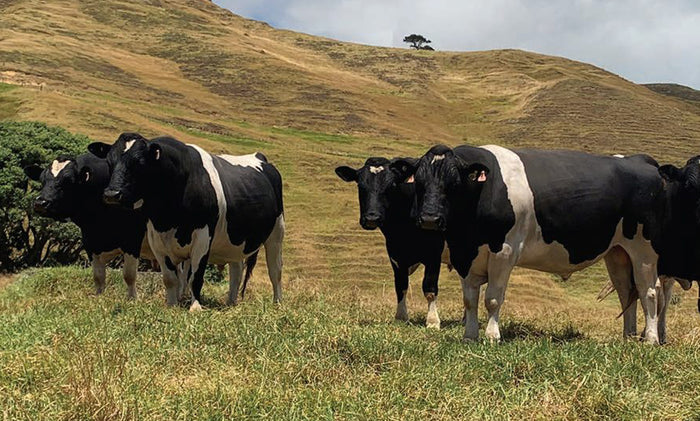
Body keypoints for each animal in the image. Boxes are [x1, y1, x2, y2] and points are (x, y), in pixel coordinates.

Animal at [88, 133, 284, 310]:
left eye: (140, 163)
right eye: (110, 162)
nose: (111, 194)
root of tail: (259, 157)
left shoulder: (203, 237)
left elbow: (195, 277)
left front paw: (195, 307)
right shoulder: (157, 240)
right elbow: (170, 278)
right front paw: (172, 305)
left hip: (276, 233)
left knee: (275, 270)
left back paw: (277, 304)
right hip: (234, 240)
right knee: (236, 269)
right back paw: (230, 302)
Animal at [334, 158, 452, 328]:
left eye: (391, 186)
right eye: (360, 186)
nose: (372, 218)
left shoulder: (433, 254)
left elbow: (429, 288)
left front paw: (432, 321)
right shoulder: (395, 254)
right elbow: (400, 286)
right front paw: (401, 317)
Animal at [394, 145, 668, 344]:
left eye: (454, 184)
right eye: (419, 183)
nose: (429, 219)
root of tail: (639, 160)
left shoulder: (503, 252)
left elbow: (492, 299)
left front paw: (492, 336)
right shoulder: (466, 256)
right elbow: (470, 300)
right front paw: (469, 337)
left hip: (644, 250)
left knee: (649, 291)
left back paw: (651, 339)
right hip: (618, 252)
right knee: (626, 291)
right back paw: (628, 337)